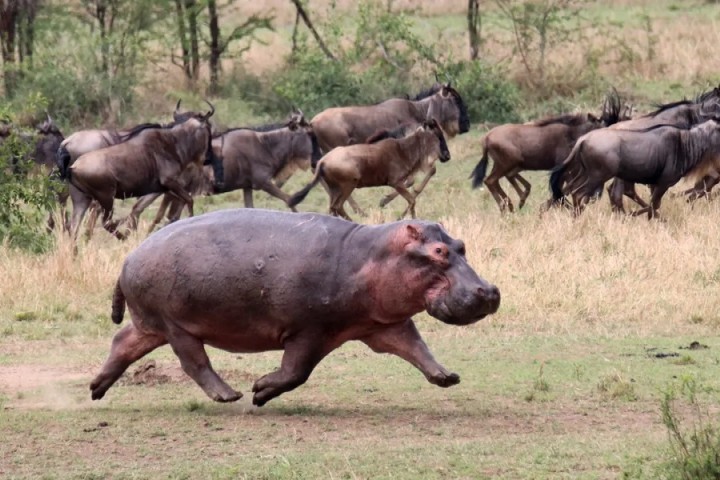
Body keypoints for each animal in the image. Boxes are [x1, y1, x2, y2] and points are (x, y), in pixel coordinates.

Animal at [88, 209, 500, 404]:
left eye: (461, 245)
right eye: (439, 251)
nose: (490, 291)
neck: (372, 255)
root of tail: (128, 258)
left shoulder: (383, 323)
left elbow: (416, 347)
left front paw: (447, 377)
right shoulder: (309, 330)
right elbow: (296, 372)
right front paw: (259, 390)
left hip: (151, 323)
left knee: (123, 342)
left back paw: (95, 388)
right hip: (177, 325)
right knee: (195, 362)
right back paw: (230, 395)